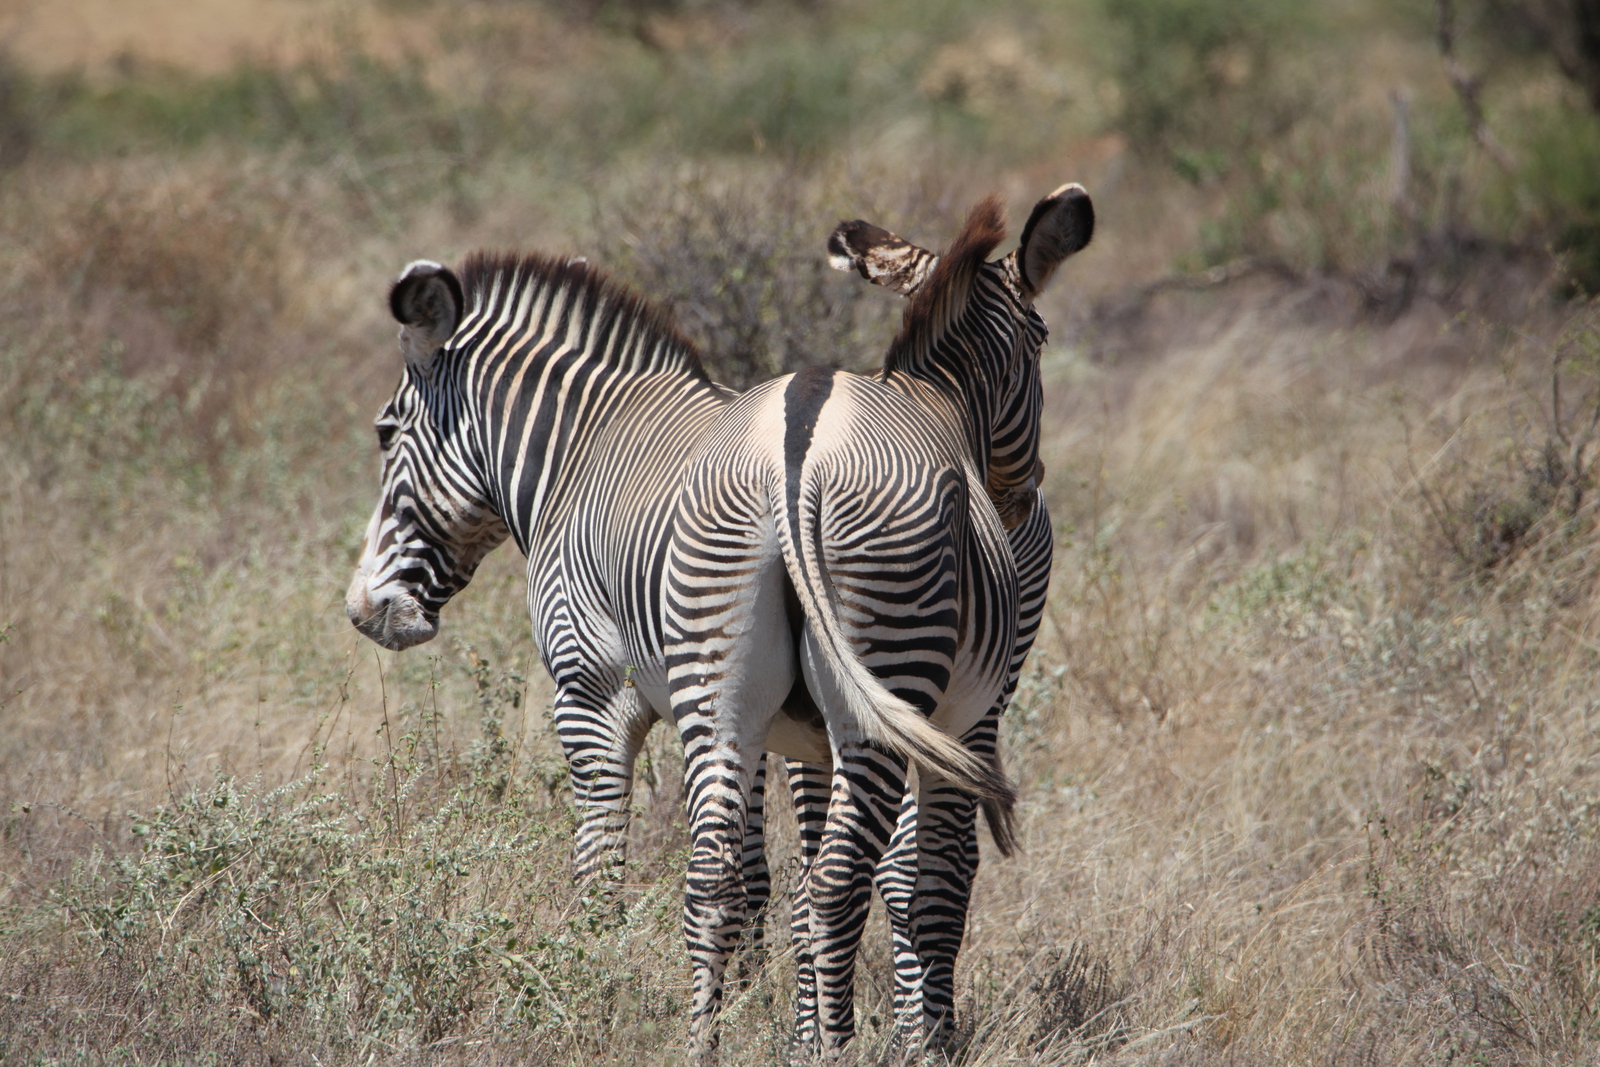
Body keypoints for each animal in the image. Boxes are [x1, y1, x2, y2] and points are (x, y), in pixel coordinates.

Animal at [665, 185, 1100, 1062]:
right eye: (1041, 340)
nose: (1023, 498)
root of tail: (791, 460)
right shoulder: (969, 720)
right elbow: (937, 874)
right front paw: (930, 1036)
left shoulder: (808, 734)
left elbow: (810, 875)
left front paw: (822, 1026)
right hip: (890, 661)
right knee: (840, 882)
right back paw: (837, 1049)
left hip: (718, 673)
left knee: (714, 873)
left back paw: (706, 1043)